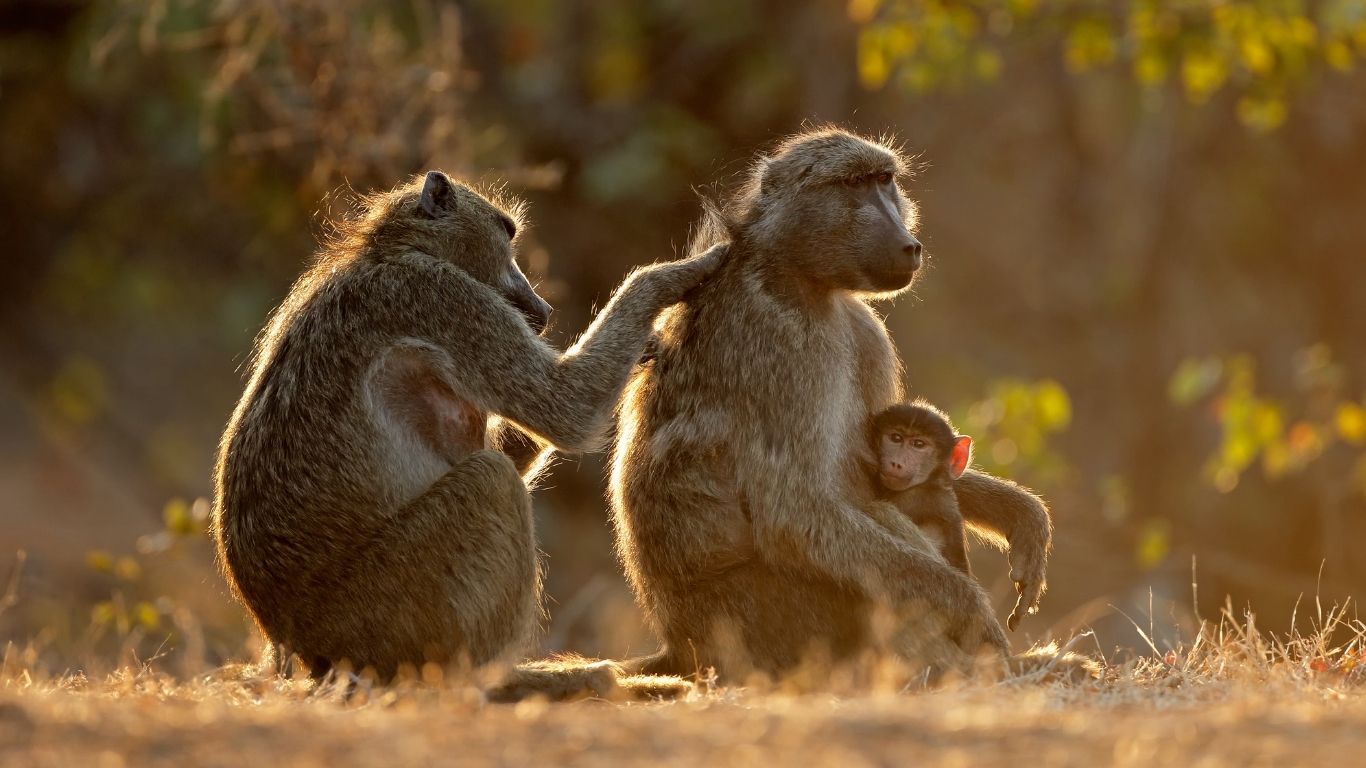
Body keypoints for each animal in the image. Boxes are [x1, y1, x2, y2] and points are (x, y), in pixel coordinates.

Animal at [212, 169, 724, 696]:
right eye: (507, 235)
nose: (541, 306)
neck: (391, 252)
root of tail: (308, 650)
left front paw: (646, 345)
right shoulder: (443, 297)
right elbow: (566, 407)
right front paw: (678, 272)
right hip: (387, 615)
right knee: (490, 480)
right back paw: (523, 681)